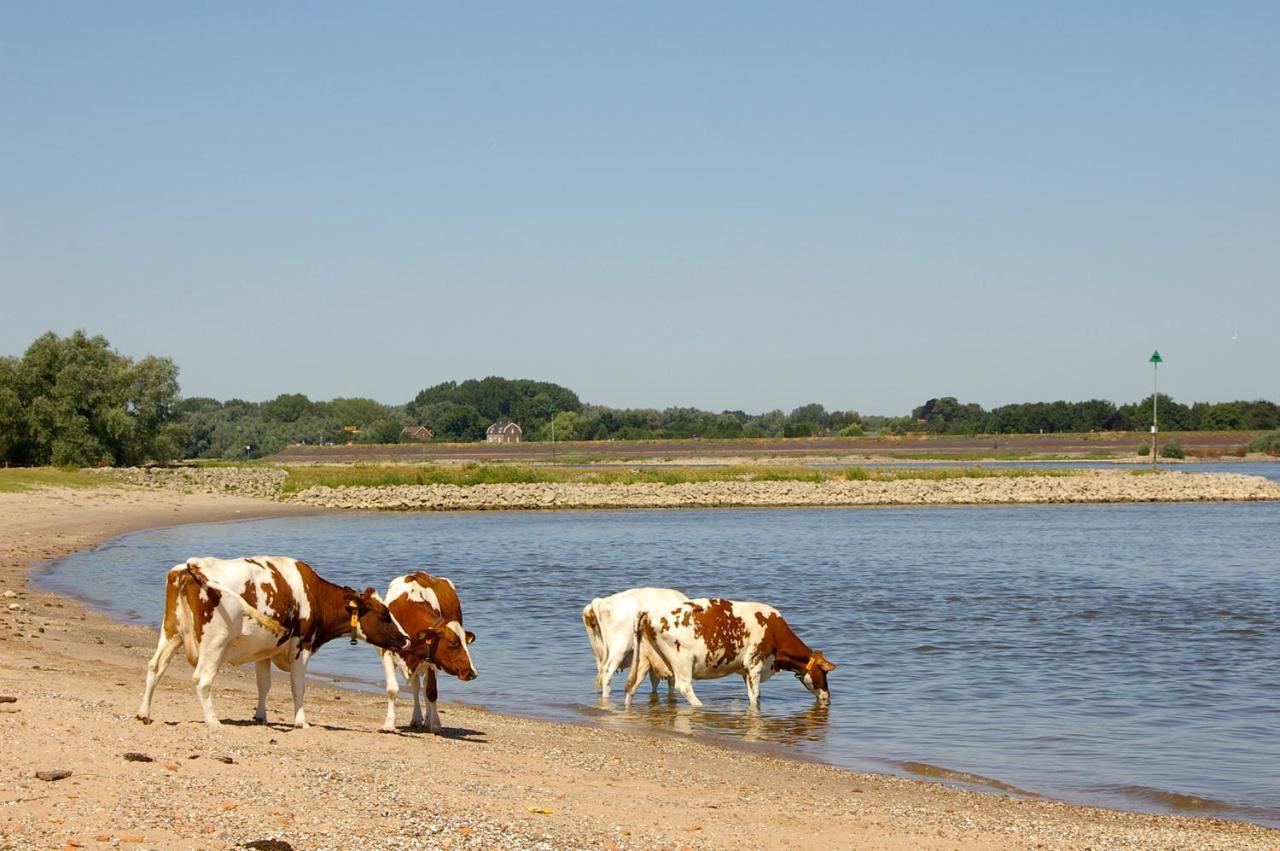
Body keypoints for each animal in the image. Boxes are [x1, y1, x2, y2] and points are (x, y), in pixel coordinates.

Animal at [135, 557, 407, 731]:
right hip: (215, 642)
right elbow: (298, 687)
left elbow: (263, 685)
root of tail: (192, 564)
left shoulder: (264, 651)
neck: (314, 594)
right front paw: (301, 721)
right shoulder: (301, 647)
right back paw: (213, 723)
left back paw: (144, 714)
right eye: (384, 614)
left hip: (171, 632)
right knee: (202, 680)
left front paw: (260, 716)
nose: (405, 639)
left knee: (155, 667)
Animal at [384, 570, 481, 731]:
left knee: (424, 689)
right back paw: (416, 719)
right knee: (416, 687)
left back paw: (427, 720)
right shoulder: (385, 652)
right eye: (453, 643)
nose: (472, 672)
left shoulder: (431, 660)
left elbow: (431, 692)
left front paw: (435, 724)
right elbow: (392, 690)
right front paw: (389, 724)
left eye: (466, 644)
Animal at [622, 593, 839, 706]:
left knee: (632, 686)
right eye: (824, 673)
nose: (828, 695)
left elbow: (751, 694)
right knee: (684, 687)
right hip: (681, 660)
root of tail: (649, 612)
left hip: (644, 659)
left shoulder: (744, 670)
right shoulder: (755, 663)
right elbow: (755, 695)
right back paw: (700, 706)